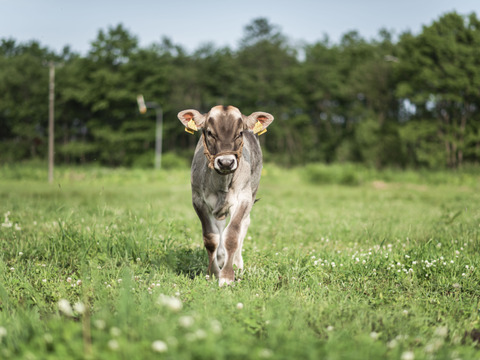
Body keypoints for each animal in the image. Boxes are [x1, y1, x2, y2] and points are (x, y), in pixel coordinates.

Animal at [177, 105, 274, 286]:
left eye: (240, 133)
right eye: (209, 132)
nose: (226, 162)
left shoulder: (243, 199)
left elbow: (232, 235)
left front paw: (227, 277)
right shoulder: (198, 201)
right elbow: (211, 237)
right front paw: (213, 273)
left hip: (252, 193)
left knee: (244, 224)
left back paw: (237, 263)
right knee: (220, 227)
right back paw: (221, 258)